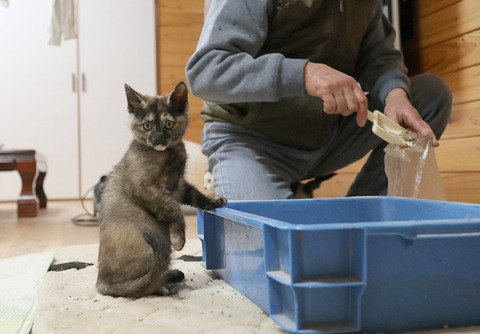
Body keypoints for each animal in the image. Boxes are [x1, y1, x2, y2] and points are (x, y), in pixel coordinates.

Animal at [96, 81, 228, 298]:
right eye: (147, 126)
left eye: (169, 124)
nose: (157, 138)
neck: (168, 153)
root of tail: (101, 283)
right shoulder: (144, 189)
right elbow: (172, 208)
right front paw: (179, 239)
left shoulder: (179, 185)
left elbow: (195, 195)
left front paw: (214, 201)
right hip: (149, 247)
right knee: (141, 286)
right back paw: (164, 286)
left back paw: (171, 274)